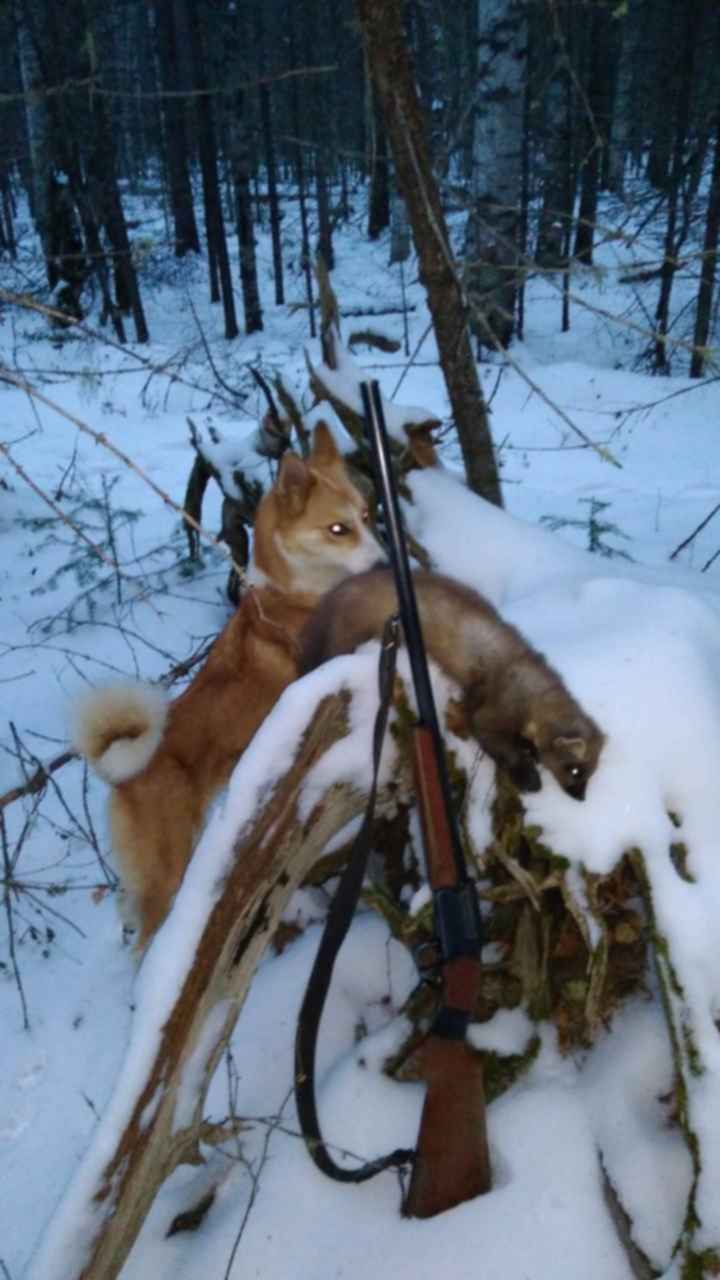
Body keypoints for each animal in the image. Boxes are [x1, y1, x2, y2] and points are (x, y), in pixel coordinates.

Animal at [73, 424, 381, 947]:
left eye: (364, 515)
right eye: (337, 529)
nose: (384, 564)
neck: (293, 592)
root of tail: (123, 775)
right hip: (166, 874)